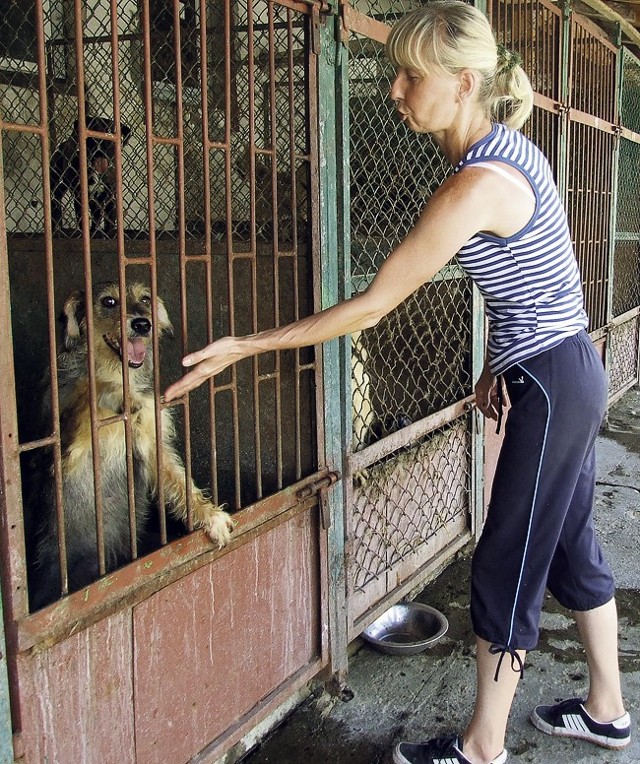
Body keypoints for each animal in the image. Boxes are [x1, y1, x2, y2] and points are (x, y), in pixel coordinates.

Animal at [27, 280, 234, 608]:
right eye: (108, 301)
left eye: (146, 299)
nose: (142, 324)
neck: (114, 368)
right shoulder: (65, 447)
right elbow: (89, 393)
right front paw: (116, 394)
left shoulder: (152, 443)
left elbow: (179, 480)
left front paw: (210, 515)